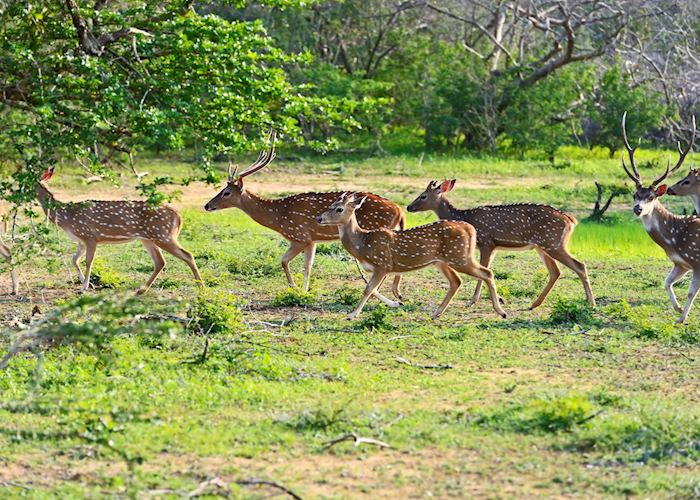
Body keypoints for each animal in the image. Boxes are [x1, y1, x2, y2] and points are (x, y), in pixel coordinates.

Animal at [38, 166, 201, 294]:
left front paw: (84, 287)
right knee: (160, 262)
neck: (65, 217)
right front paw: (86, 283)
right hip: (148, 238)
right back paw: (141, 290)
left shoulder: (90, 236)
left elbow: (88, 261)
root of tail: (178, 216)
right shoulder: (81, 240)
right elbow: (74, 260)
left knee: (187, 255)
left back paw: (201, 286)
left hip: (163, 235)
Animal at [204, 129, 404, 300]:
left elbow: (284, 261)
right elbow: (308, 266)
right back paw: (397, 293)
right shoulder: (312, 240)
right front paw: (306, 291)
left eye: (226, 193)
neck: (278, 217)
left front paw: (294, 288)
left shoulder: (299, 235)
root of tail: (399, 210)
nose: (207, 205)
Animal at [314, 191, 506, 320]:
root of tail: (470, 229)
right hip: (442, 261)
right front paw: (396, 303)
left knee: (487, 272)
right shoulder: (379, 269)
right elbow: (373, 289)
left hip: (460, 257)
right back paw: (436, 313)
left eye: (339, 209)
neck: (363, 243)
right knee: (456, 281)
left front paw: (352, 315)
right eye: (329, 206)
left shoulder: (383, 264)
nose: (319, 218)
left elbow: (368, 288)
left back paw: (501, 311)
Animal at [408, 176, 592, 308]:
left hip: (553, 243)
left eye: (423, 196)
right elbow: (487, 270)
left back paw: (591, 302)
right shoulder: (494, 246)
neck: (465, 216)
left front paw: (472, 301)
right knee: (556, 271)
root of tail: (571, 220)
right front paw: (497, 299)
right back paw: (534, 304)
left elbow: (485, 270)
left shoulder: (486, 242)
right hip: (543, 246)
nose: (409, 207)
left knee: (579, 265)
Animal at [620, 112, 696, 324]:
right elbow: (666, 282)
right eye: (635, 195)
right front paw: (678, 309)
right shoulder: (681, 263)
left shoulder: (695, 260)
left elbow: (691, 291)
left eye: (652, 197)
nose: (637, 208)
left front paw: (681, 318)